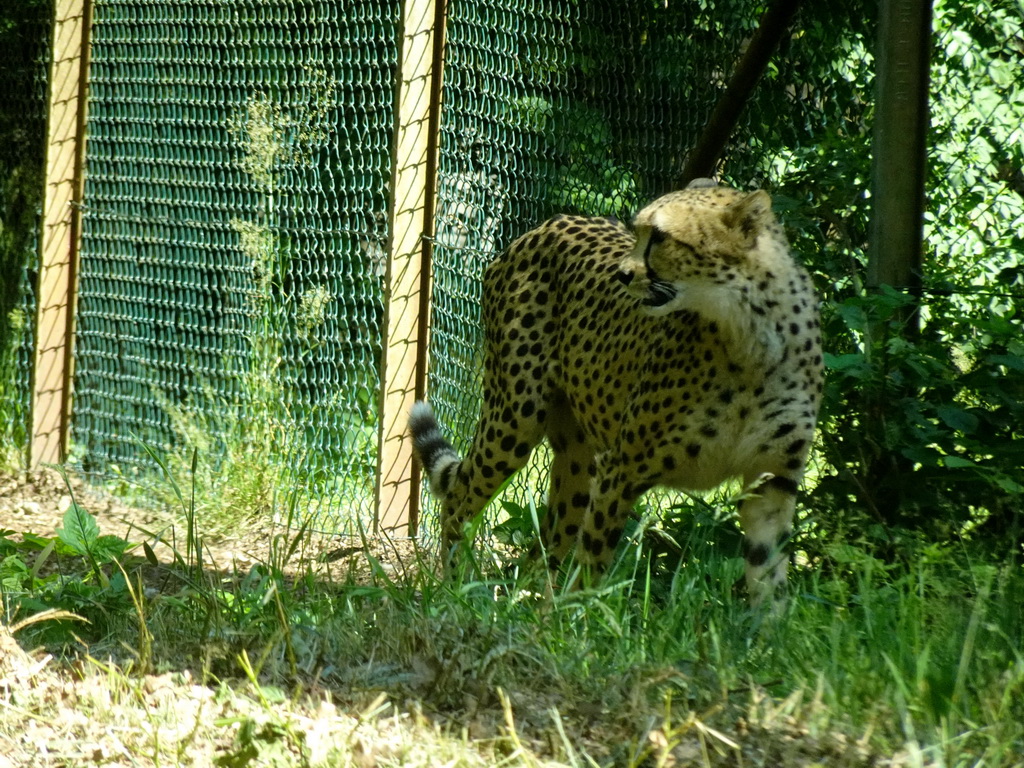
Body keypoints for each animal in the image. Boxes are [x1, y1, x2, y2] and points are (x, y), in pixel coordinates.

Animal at [409, 180, 823, 606]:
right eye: (639, 232)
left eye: (660, 237)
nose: (623, 274)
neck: (748, 334)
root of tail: (550, 222)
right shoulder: (621, 468)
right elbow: (592, 563)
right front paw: (583, 615)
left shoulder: (773, 481)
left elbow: (769, 577)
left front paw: (767, 623)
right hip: (515, 418)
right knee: (460, 498)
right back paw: (454, 588)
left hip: (577, 457)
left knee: (548, 540)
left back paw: (532, 607)